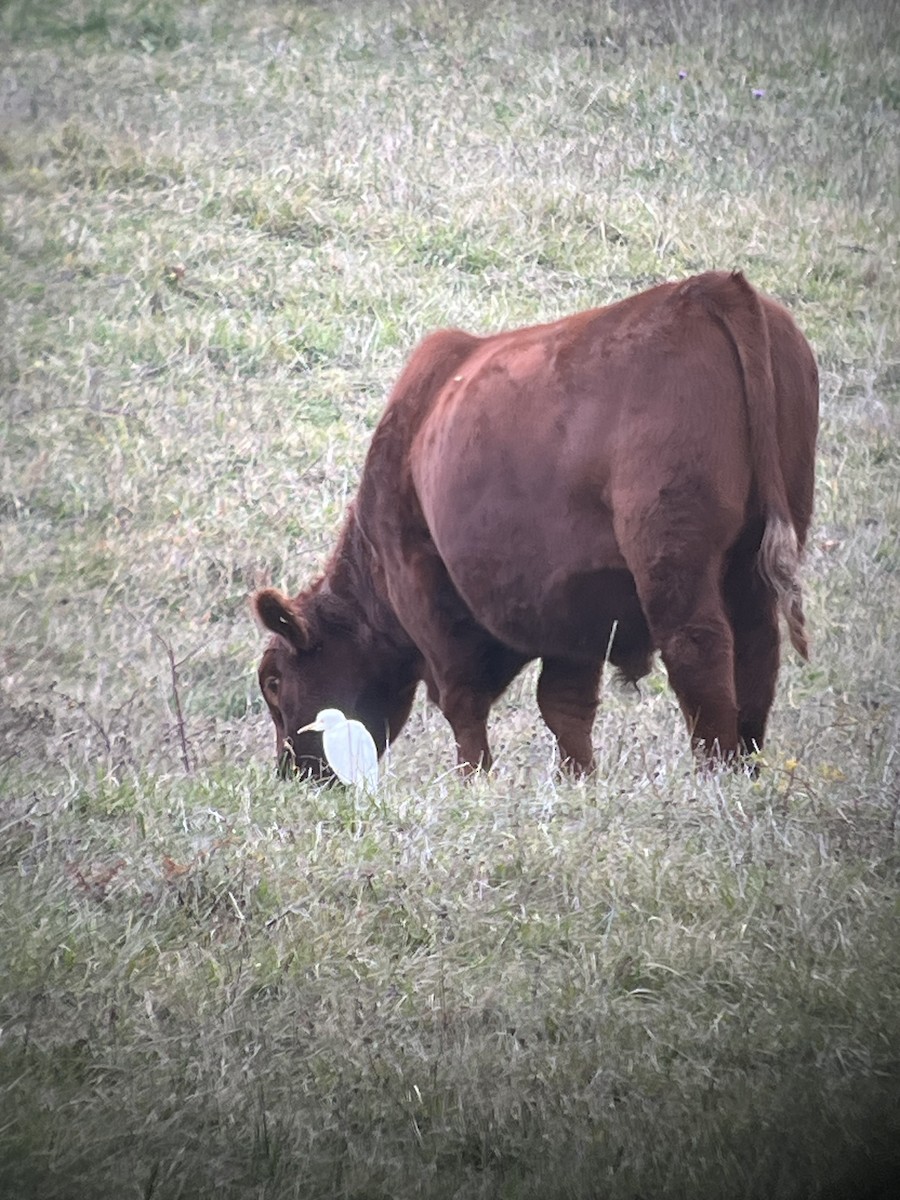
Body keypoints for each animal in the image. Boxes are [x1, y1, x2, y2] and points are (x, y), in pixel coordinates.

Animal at [253, 271, 818, 780]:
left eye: (274, 681)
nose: (291, 772)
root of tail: (710, 288)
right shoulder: (577, 618)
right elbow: (565, 706)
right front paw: (578, 781)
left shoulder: (426, 592)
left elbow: (464, 703)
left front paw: (474, 783)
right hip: (751, 557)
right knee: (757, 650)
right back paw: (746, 767)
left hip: (674, 556)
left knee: (698, 649)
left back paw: (714, 773)